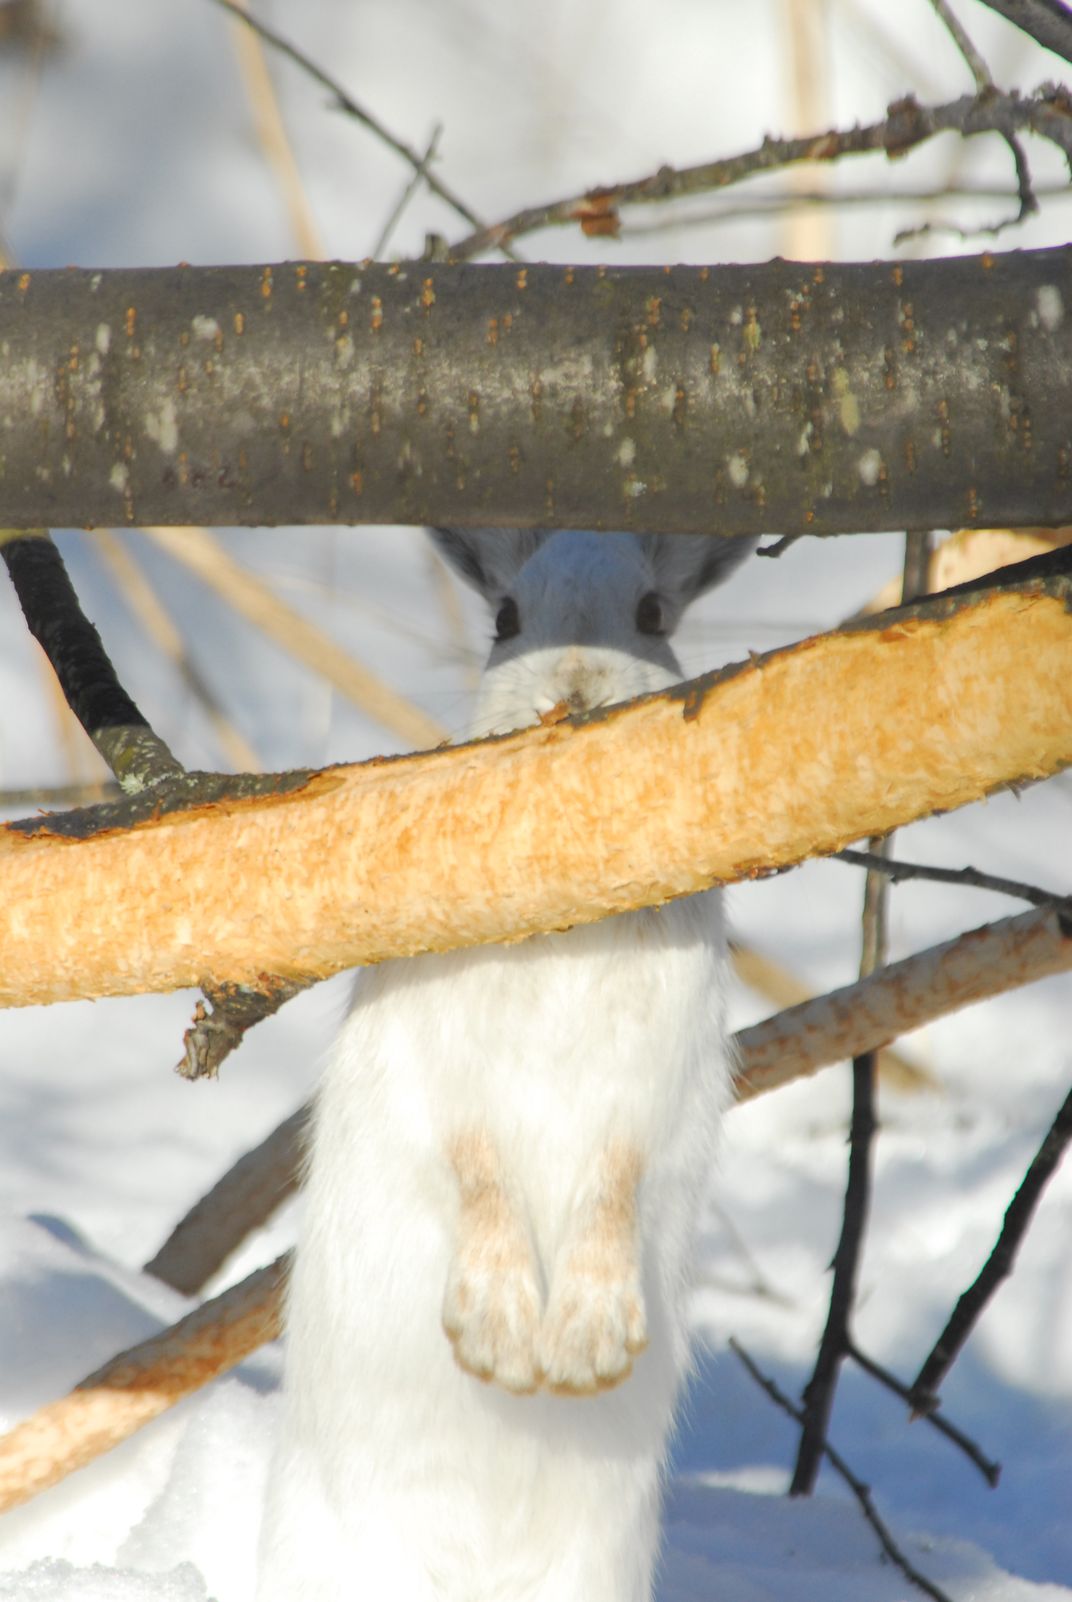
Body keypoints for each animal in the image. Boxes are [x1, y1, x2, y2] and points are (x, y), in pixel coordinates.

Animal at [257, 526, 752, 1602]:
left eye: (653, 615)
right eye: (505, 619)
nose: (570, 692)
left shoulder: (652, 1079)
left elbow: (614, 1183)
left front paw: (585, 1353)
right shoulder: (442, 1065)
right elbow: (478, 1169)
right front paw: (495, 1344)